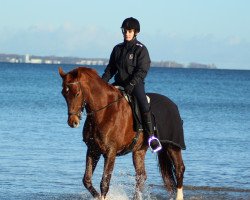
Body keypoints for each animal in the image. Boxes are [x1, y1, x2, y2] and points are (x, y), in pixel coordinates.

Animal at [58, 66, 186, 199]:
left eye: (77, 93)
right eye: (63, 93)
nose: (72, 122)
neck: (104, 111)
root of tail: (173, 104)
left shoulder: (110, 151)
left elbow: (105, 182)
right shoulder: (93, 149)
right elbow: (87, 180)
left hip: (172, 146)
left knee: (179, 169)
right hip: (139, 150)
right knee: (141, 176)